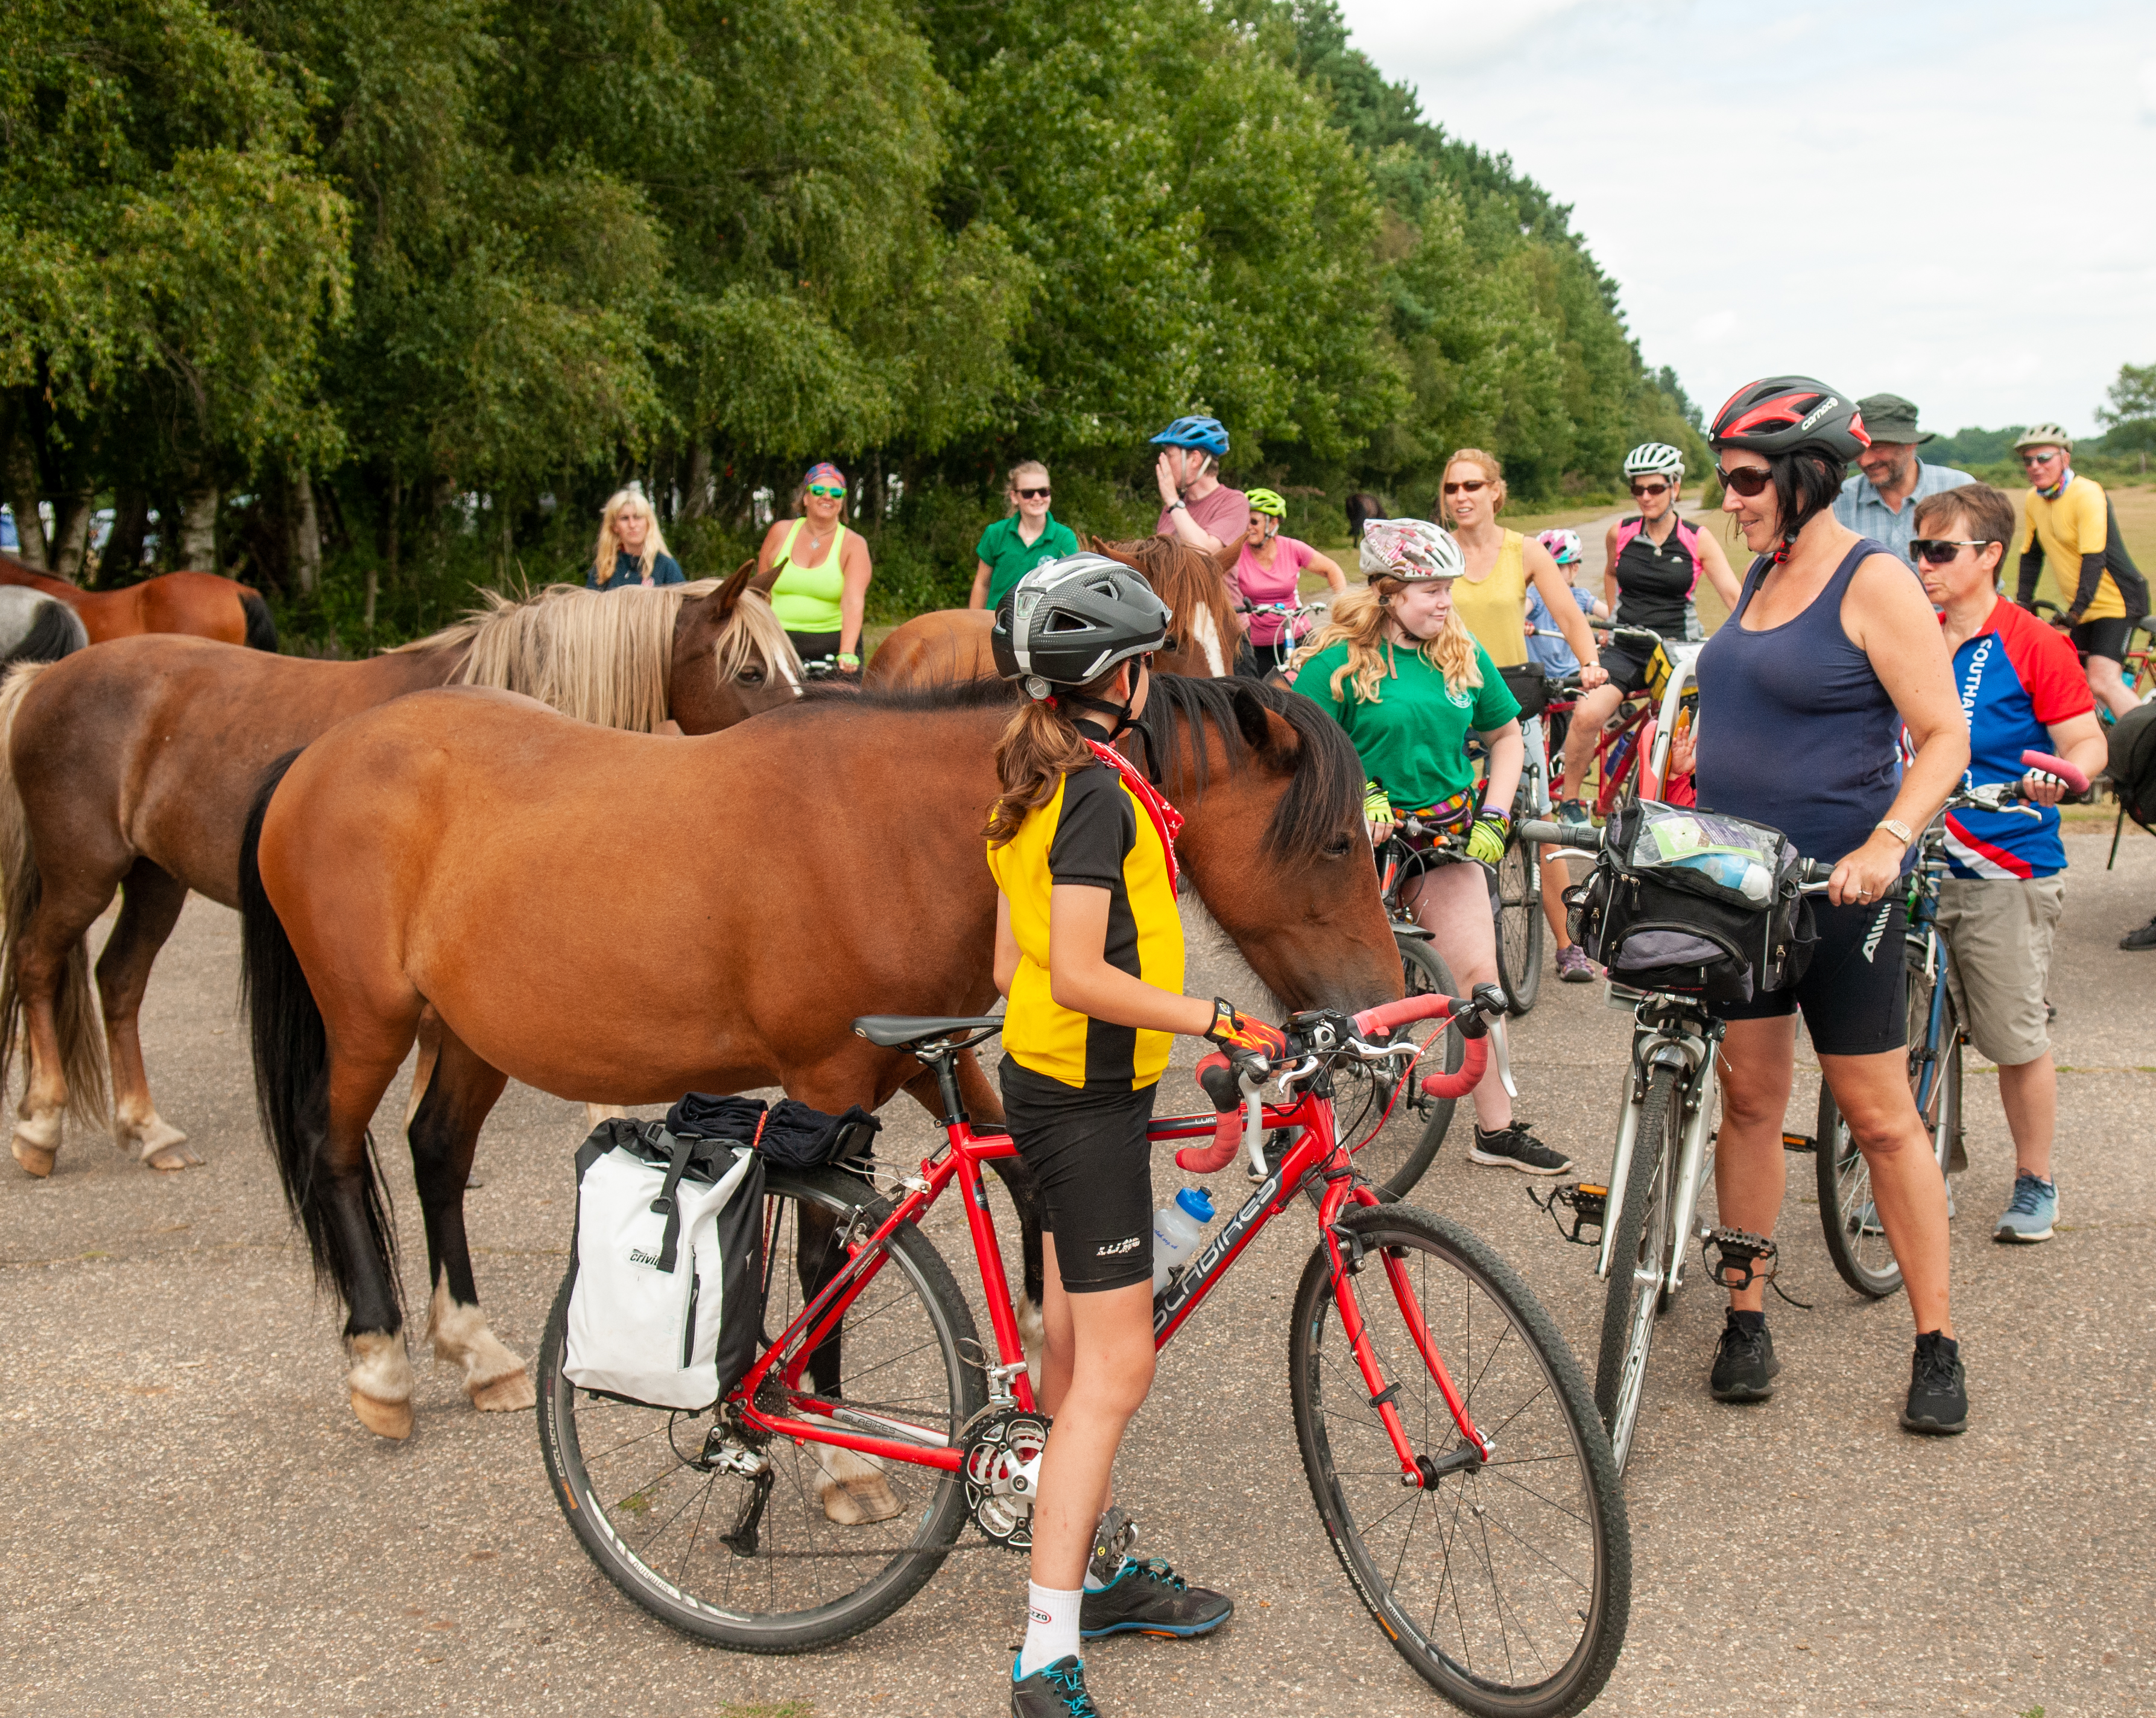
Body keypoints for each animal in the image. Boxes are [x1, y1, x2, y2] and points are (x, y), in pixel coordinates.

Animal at [0, 569, 801, 1172]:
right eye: (750, 670)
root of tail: (43, 678)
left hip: (155, 878)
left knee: (119, 981)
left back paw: (147, 1128)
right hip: (83, 872)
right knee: (39, 963)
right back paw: (40, 1125)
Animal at [236, 668, 1397, 1431]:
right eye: (1338, 842)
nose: (1385, 1003)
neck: (900, 828)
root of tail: (314, 758)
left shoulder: (927, 1060)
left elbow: (1023, 1183)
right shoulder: (830, 1083)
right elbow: (826, 1255)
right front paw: (836, 1449)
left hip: (471, 1033)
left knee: (436, 1153)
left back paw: (474, 1350)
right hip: (369, 1026)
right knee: (336, 1158)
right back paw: (380, 1365)